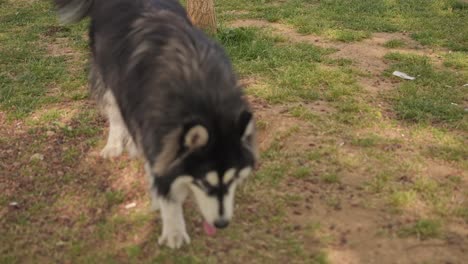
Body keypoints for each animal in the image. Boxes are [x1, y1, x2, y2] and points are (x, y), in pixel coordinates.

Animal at [54, 0, 260, 248]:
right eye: (204, 183)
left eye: (232, 180)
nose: (222, 224)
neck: (201, 91)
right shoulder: (156, 129)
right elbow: (164, 183)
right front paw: (173, 229)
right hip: (110, 77)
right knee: (115, 113)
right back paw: (114, 145)